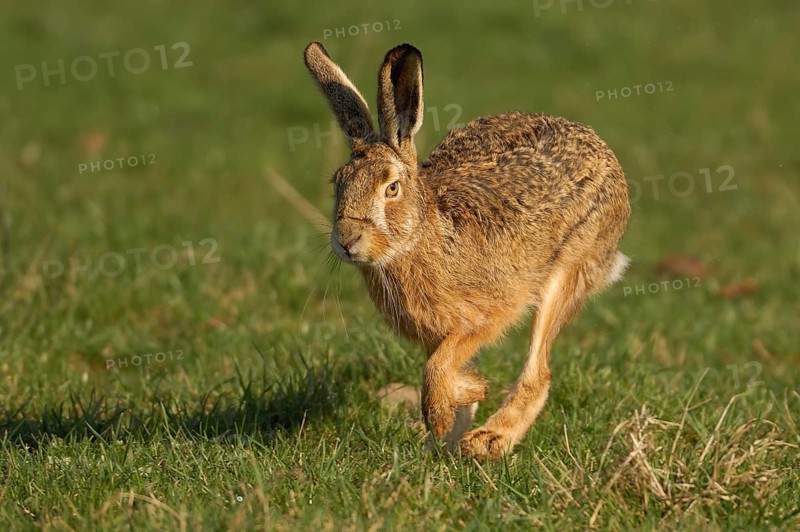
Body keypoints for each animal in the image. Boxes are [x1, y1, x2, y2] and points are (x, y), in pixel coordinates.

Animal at [303, 42, 630, 458]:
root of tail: (603, 151)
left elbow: (436, 369)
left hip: (567, 270)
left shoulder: (487, 316)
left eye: (391, 188)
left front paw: (451, 411)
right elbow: (443, 370)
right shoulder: (439, 335)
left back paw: (489, 441)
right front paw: (458, 410)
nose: (346, 239)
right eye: (337, 184)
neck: (420, 236)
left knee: (539, 372)